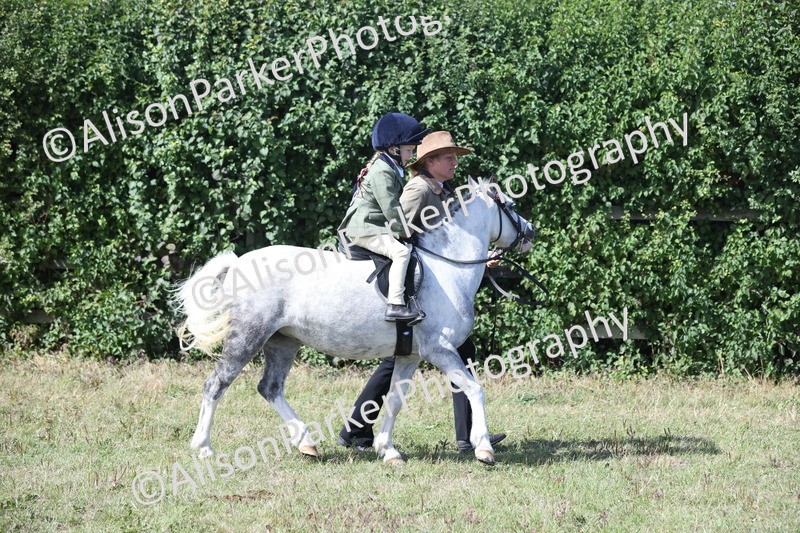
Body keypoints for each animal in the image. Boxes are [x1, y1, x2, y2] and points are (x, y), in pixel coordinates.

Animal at [177, 177, 535, 465]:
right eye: (511, 205)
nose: (530, 232)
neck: (447, 268)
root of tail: (239, 263)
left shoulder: (410, 354)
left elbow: (394, 400)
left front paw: (387, 450)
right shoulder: (440, 349)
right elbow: (473, 388)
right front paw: (484, 448)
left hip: (283, 341)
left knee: (270, 387)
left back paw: (307, 443)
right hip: (248, 336)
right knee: (216, 384)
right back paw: (204, 447)